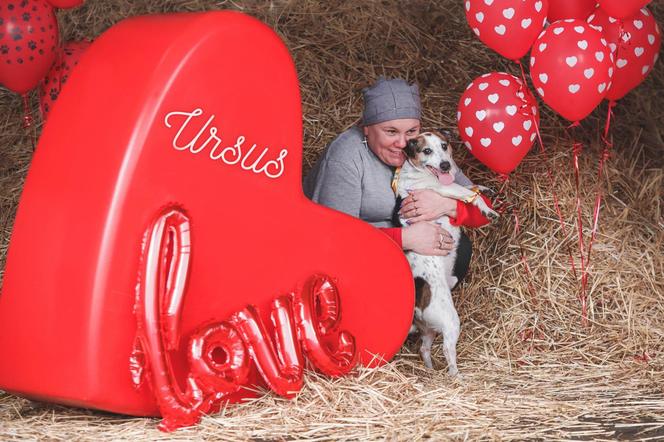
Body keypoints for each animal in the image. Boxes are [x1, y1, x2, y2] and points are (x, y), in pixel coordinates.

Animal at [394, 129, 498, 374]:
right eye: (426, 150)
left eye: (444, 145)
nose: (445, 165)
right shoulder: (445, 188)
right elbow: (471, 196)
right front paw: (488, 210)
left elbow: (472, 188)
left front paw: (484, 188)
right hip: (449, 320)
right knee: (448, 352)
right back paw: (457, 377)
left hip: (429, 328)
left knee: (424, 349)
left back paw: (430, 370)